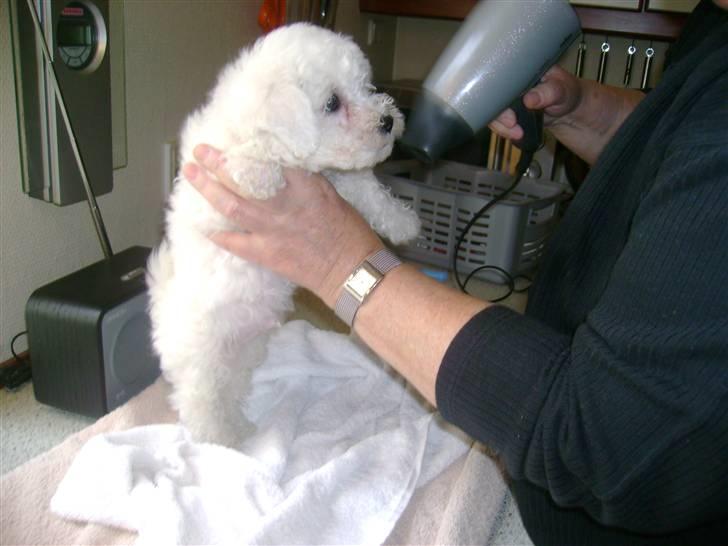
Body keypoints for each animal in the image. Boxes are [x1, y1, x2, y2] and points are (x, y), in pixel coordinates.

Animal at [146, 22, 420, 446]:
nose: (388, 120)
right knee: (202, 403)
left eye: (365, 86)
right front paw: (259, 174)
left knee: (231, 390)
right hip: (202, 360)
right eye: (332, 103)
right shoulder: (215, 191)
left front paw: (403, 222)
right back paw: (220, 441)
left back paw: (240, 427)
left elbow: (367, 190)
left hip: (243, 355)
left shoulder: (337, 180)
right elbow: (245, 158)